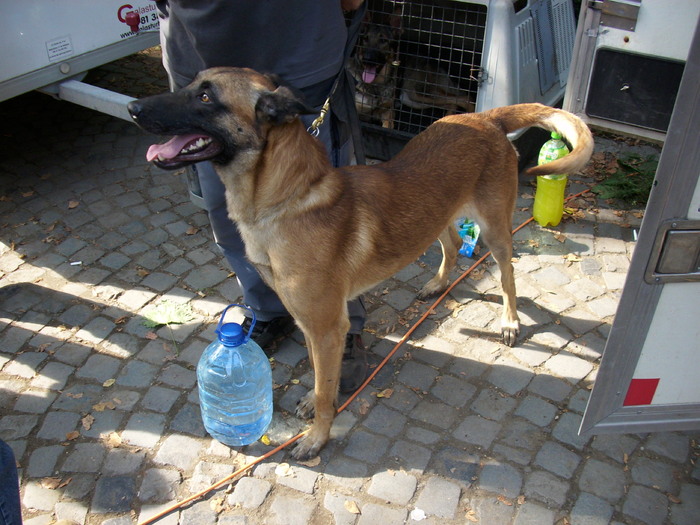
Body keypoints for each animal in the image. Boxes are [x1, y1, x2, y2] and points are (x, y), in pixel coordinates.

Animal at [129, 66, 592, 458]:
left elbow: (322, 390)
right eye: (192, 85)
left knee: (508, 273)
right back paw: (438, 283)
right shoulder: (310, 323)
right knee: (449, 243)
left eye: (206, 96)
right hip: (437, 215)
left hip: (495, 229)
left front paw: (317, 436)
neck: (285, 200)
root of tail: (486, 117)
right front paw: (316, 400)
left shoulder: (327, 326)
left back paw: (510, 321)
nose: (133, 108)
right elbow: (318, 374)